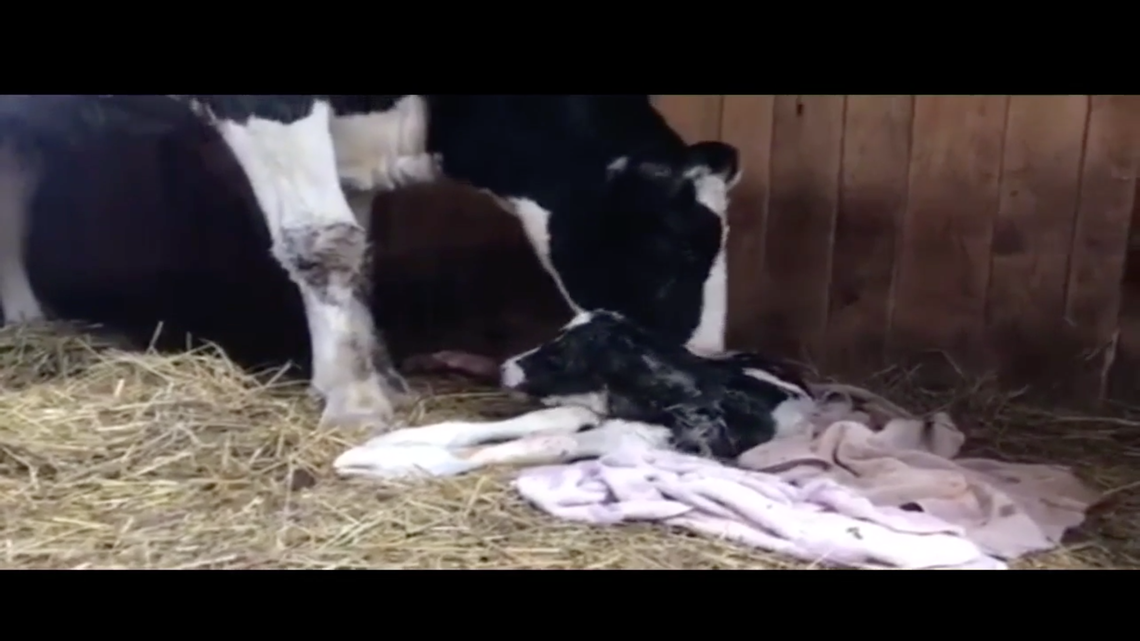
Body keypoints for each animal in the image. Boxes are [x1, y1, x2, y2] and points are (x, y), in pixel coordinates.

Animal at [0, 95, 741, 430]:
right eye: (678, 244)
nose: (704, 364)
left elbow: (357, 248)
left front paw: (373, 374)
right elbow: (322, 241)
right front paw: (357, 401)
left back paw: (26, 323)